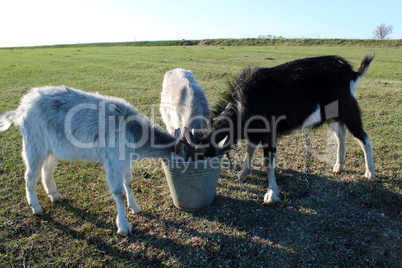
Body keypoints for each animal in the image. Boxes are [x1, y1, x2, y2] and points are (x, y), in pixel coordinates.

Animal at [0, 85, 192, 236]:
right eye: (187, 158)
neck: (133, 132)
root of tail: (21, 109)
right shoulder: (113, 159)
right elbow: (119, 192)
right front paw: (124, 227)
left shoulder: (124, 159)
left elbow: (128, 182)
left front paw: (136, 207)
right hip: (34, 144)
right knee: (30, 176)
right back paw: (36, 208)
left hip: (53, 149)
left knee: (46, 170)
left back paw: (55, 195)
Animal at [201, 55, 376, 204]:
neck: (243, 103)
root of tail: (350, 72)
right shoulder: (255, 131)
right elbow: (249, 151)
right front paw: (243, 174)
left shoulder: (269, 132)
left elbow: (267, 162)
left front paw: (272, 194)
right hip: (331, 115)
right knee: (341, 135)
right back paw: (338, 166)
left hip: (347, 109)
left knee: (363, 137)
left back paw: (370, 172)